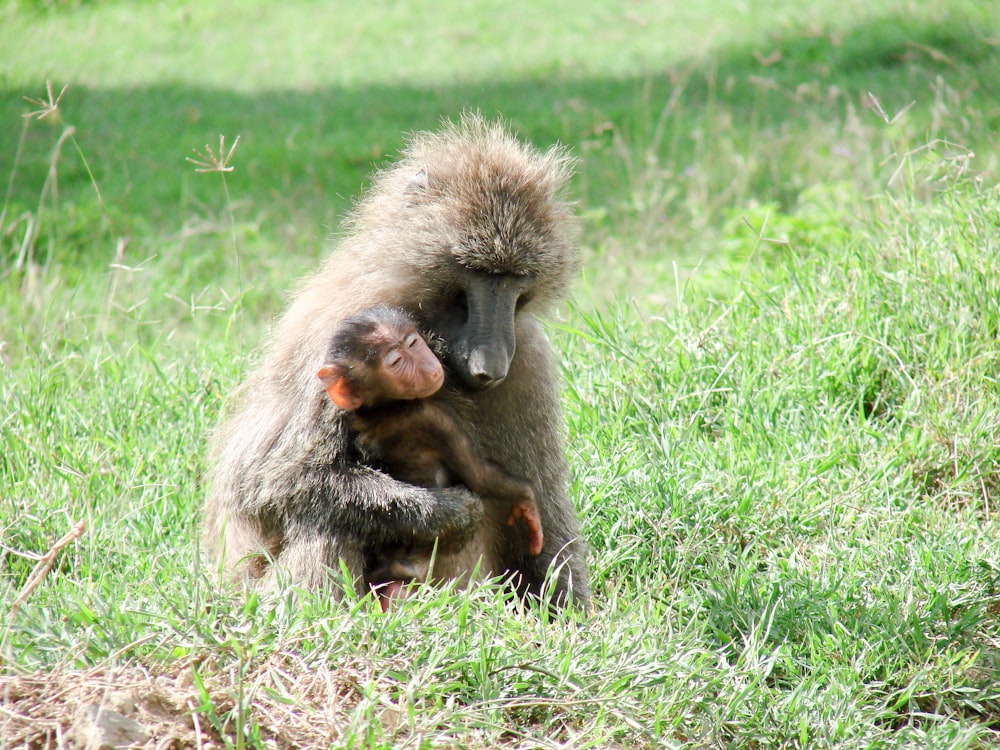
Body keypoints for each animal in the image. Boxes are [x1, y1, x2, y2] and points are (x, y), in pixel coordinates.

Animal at [316, 302, 544, 608]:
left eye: (412, 343)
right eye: (396, 363)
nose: (427, 364)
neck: (384, 407)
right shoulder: (435, 418)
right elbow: (480, 476)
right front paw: (526, 503)